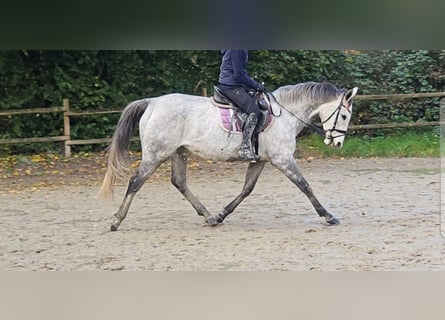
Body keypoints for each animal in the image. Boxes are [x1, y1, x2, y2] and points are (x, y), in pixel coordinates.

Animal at [99, 82, 358, 230]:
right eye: (345, 116)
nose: (336, 143)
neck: (285, 114)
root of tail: (151, 103)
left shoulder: (261, 160)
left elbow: (246, 189)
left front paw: (222, 214)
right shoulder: (282, 159)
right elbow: (305, 186)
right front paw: (328, 216)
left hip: (178, 153)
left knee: (179, 182)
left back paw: (209, 216)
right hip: (155, 154)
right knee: (136, 181)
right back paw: (116, 220)